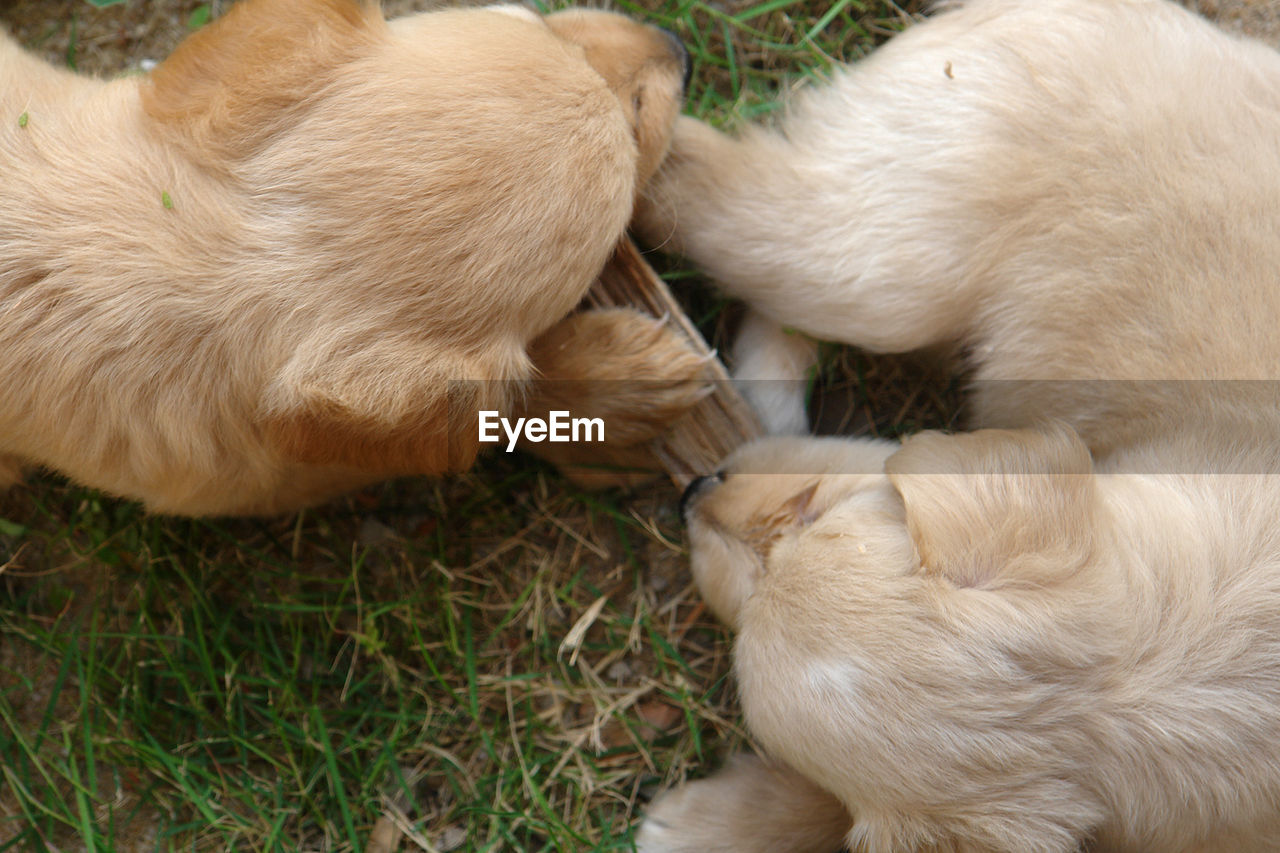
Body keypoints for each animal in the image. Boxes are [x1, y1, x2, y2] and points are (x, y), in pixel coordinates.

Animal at [0, 0, 711, 512]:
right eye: (637, 121)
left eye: (532, 18)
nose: (679, 47)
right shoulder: (271, 480)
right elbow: (497, 412)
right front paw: (625, 388)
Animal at [637, 1, 1280, 850]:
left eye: (811, 510)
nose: (695, 490)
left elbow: (828, 811)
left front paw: (715, 822)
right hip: (882, 249)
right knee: (698, 174)